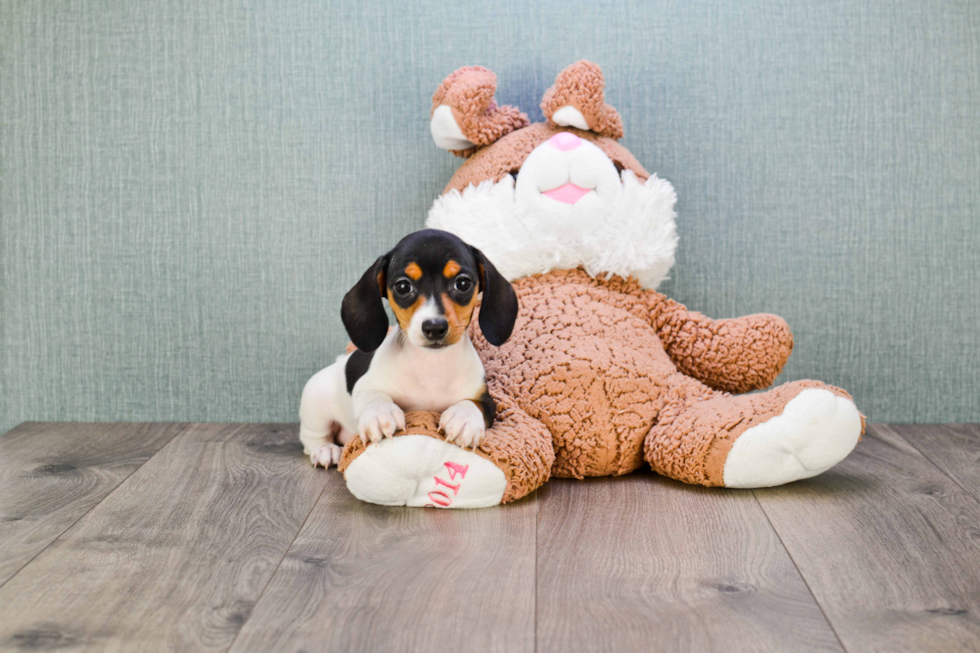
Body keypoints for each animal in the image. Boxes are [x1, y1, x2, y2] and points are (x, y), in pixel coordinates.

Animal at [298, 228, 520, 464]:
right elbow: (374, 396)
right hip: (315, 406)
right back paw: (326, 450)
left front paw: (463, 418)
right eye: (403, 286)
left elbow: (473, 404)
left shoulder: (485, 399)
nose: (434, 327)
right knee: (313, 438)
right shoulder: (365, 385)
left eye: (462, 283)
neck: (431, 365)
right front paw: (380, 414)